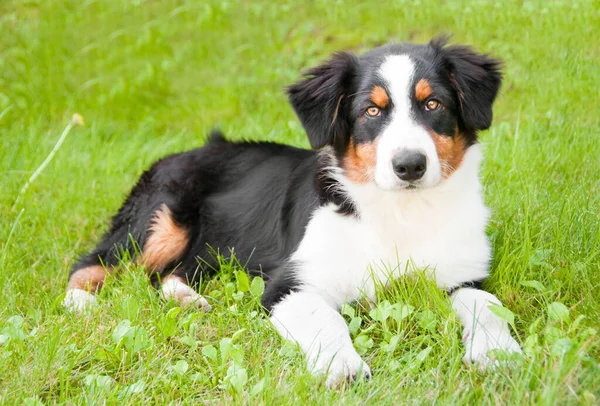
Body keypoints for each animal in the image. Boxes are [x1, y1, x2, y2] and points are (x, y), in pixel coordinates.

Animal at [64, 37, 520, 386]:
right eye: (371, 111)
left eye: (433, 105)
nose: (409, 166)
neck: (401, 212)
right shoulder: (289, 284)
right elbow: (326, 319)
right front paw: (343, 367)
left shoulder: (461, 275)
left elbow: (487, 303)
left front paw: (499, 353)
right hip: (160, 219)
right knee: (92, 262)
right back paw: (80, 305)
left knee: (172, 273)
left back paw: (188, 299)